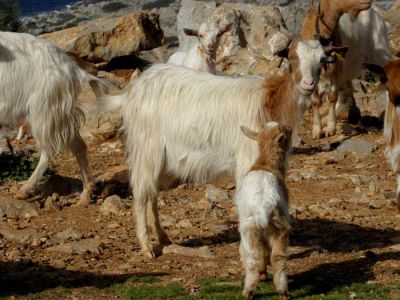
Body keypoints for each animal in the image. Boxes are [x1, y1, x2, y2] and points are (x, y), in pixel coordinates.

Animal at [0, 31, 109, 205]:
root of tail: (74, 70)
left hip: (45, 112)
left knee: (48, 151)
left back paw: (24, 190)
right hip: (57, 114)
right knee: (78, 146)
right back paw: (86, 195)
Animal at [99, 38, 344, 258]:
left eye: (321, 60)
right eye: (292, 57)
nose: (308, 84)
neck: (270, 102)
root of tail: (132, 91)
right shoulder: (248, 157)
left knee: (151, 192)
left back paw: (162, 237)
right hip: (147, 147)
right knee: (141, 194)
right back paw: (147, 248)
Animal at [234, 122, 290, 300]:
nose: (289, 128)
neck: (265, 163)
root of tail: (263, 207)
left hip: (250, 227)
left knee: (254, 257)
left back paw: (249, 290)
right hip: (279, 225)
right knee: (278, 258)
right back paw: (282, 291)